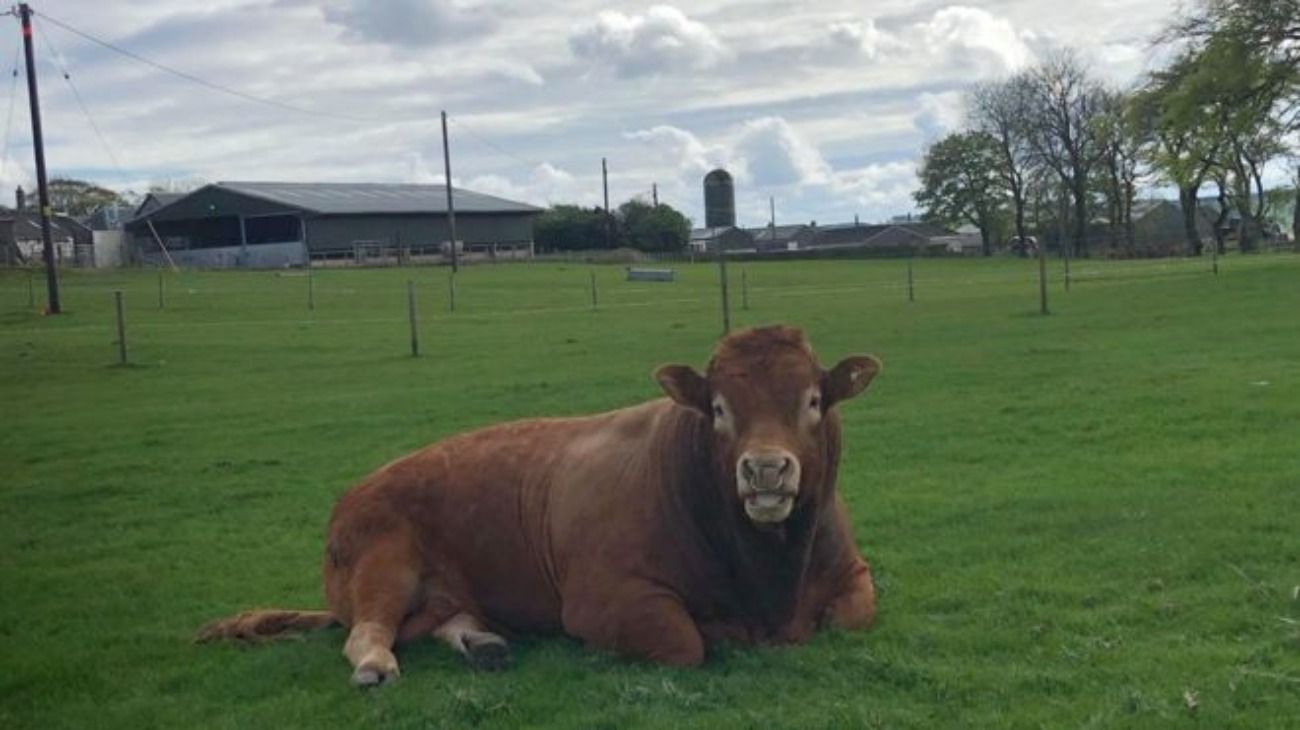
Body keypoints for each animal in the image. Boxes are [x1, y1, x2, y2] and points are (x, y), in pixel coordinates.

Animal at [197, 323, 883, 680]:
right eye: (717, 409)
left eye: (813, 401)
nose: (765, 469)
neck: (767, 578)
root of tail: (353, 495)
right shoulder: (607, 600)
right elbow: (685, 642)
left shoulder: (853, 572)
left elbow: (854, 614)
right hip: (381, 566)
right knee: (368, 630)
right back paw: (376, 664)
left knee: (439, 619)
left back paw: (484, 643)